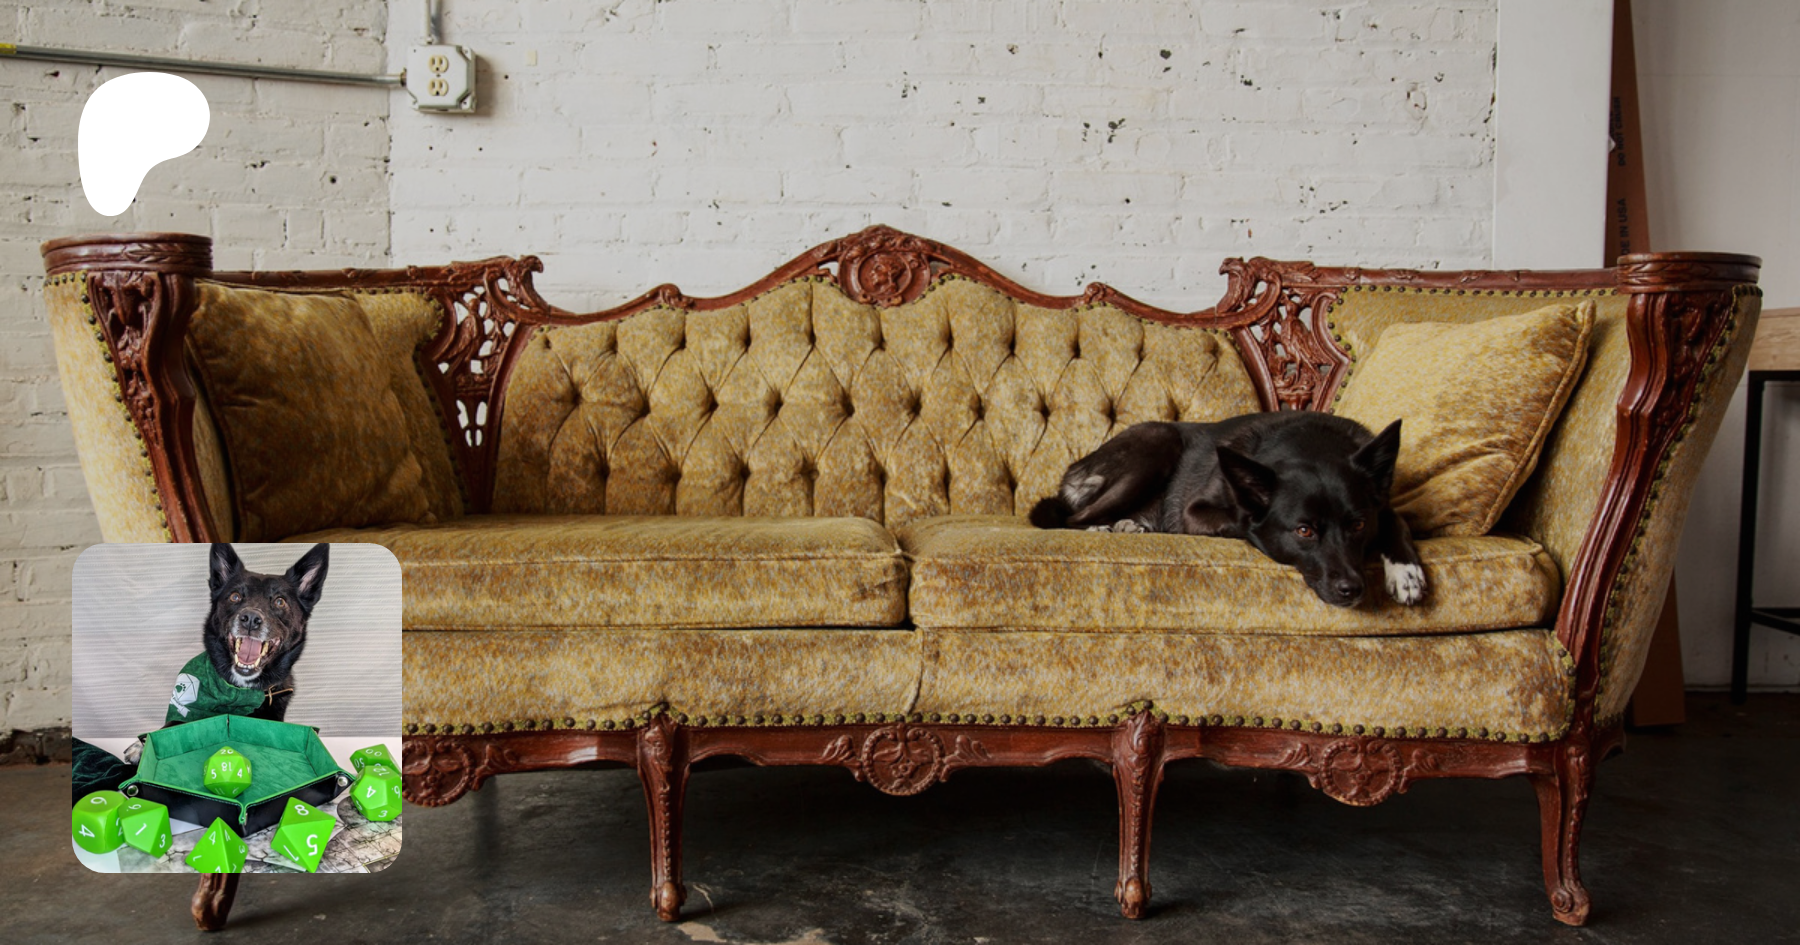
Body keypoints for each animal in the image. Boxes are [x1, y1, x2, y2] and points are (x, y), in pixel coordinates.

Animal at [1029, 412, 1426, 608]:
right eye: (1304, 531)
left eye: (1357, 525)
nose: (1352, 589)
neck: (1310, 443)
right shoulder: (1195, 511)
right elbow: (1242, 522)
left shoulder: (1379, 505)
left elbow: (1396, 518)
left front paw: (1406, 571)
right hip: (1159, 439)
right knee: (1072, 518)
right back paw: (1102, 528)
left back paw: (1130, 526)